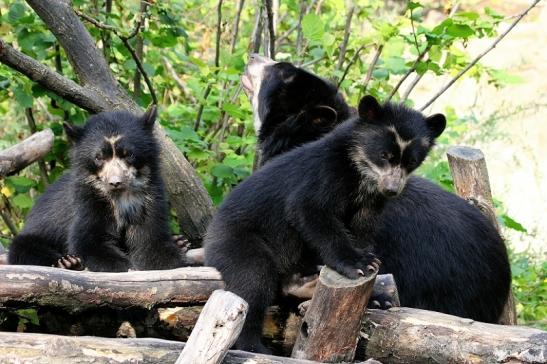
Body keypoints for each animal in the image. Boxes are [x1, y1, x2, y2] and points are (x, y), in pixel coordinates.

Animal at [8, 106, 187, 272]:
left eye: (128, 154)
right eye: (99, 157)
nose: (115, 182)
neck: (121, 197)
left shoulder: (148, 198)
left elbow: (150, 238)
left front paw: (171, 261)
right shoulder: (89, 201)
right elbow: (89, 242)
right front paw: (123, 265)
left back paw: (180, 242)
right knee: (25, 248)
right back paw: (67, 262)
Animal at [203, 93, 448, 352]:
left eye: (411, 161)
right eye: (384, 155)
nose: (392, 190)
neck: (361, 174)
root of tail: (211, 232)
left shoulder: (369, 205)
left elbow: (361, 231)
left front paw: (375, 288)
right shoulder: (325, 174)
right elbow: (309, 210)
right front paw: (360, 264)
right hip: (238, 238)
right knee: (252, 280)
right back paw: (252, 345)